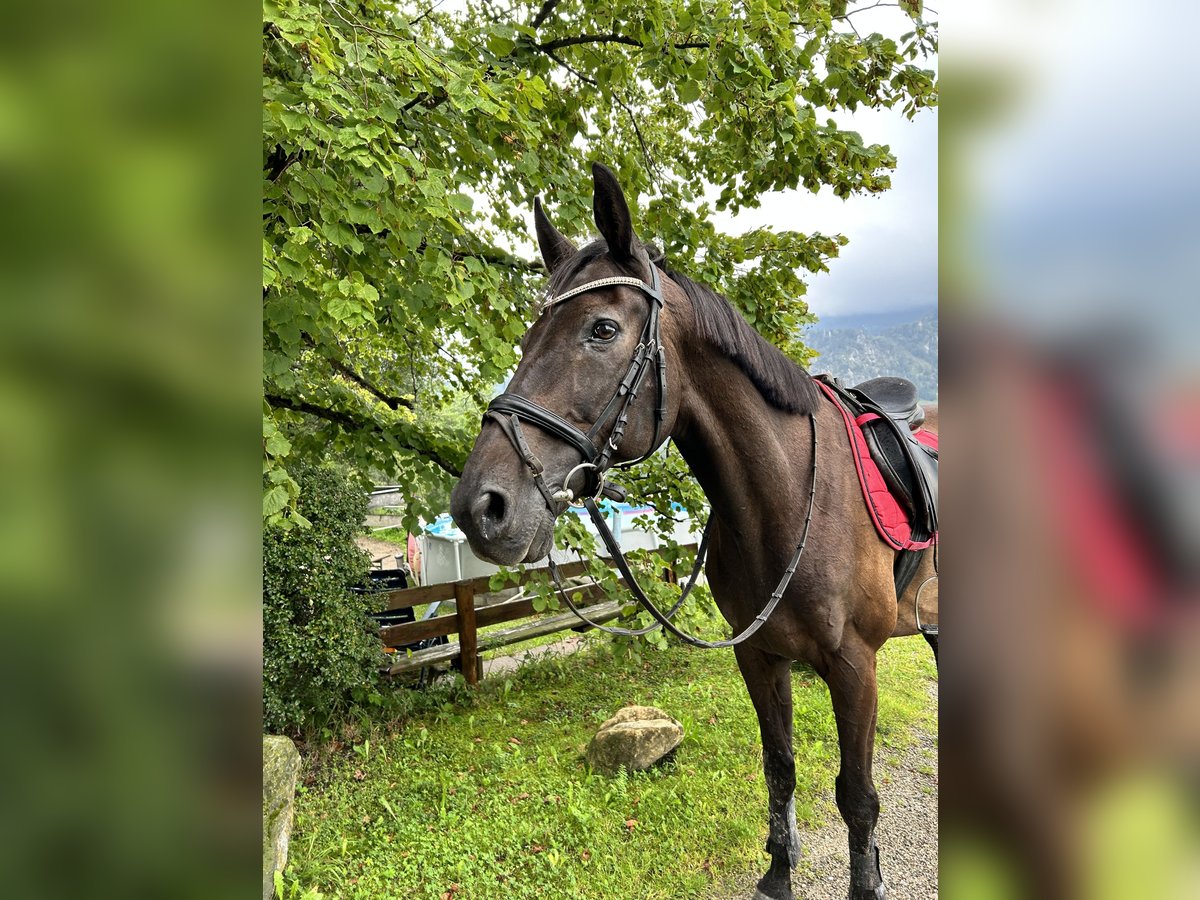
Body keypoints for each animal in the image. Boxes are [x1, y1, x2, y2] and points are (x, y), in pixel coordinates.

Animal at [451, 164, 936, 900]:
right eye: (528, 338)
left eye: (601, 329)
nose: (481, 506)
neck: (786, 501)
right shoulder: (759, 657)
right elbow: (780, 767)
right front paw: (778, 873)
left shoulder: (856, 667)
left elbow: (858, 797)